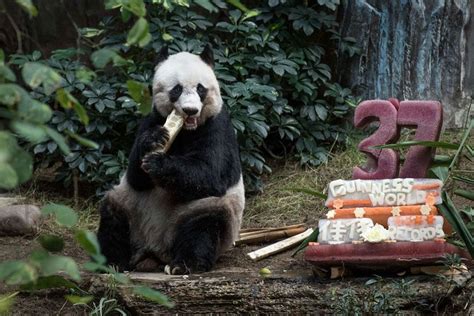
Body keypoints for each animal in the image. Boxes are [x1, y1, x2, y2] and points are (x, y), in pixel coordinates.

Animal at [96, 44, 244, 274]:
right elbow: (135, 176)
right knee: (114, 216)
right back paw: (112, 261)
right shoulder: (152, 118)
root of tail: (155, 250)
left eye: (201, 89)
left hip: (202, 210)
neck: (186, 130)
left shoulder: (218, 126)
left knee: (204, 224)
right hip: (130, 206)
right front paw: (154, 141)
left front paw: (158, 164)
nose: (190, 110)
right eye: (177, 89)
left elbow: (210, 173)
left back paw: (185, 264)